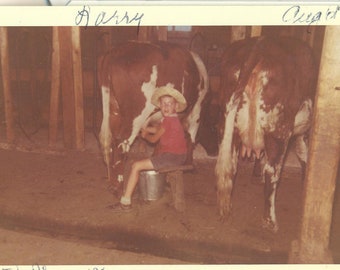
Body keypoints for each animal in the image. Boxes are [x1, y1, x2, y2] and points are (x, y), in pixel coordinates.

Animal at [97, 40, 210, 195]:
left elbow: (161, 142)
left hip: (112, 110)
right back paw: (119, 187)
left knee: (109, 143)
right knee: (122, 144)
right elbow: (191, 139)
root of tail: (114, 52)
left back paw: (112, 182)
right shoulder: (197, 111)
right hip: (135, 116)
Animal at [216, 36, 318, 232]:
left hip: (229, 125)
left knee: (230, 165)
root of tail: (258, 45)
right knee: (273, 171)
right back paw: (270, 221)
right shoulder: (302, 132)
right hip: (279, 130)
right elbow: (304, 156)